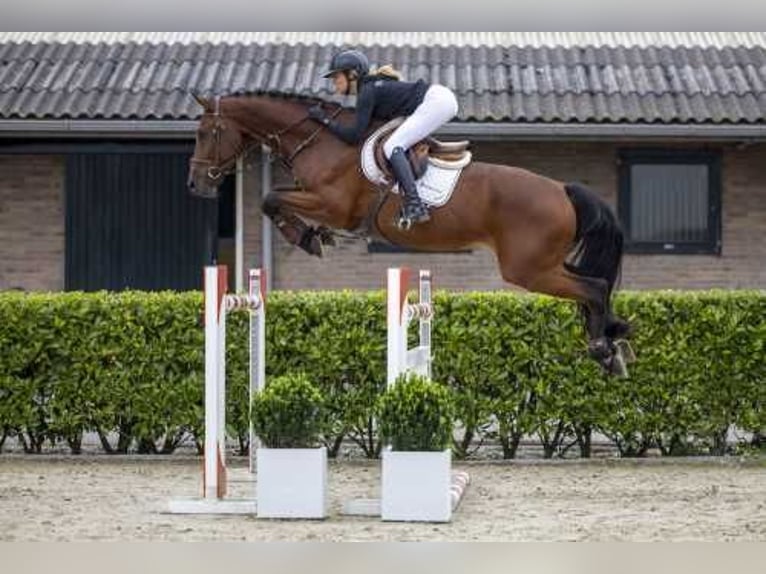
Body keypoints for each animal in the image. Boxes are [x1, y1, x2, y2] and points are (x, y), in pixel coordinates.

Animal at [188, 91, 636, 376]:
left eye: (206, 133)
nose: (196, 185)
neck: (320, 142)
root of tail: (562, 189)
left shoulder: (333, 205)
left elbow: (270, 198)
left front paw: (307, 237)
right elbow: (275, 199)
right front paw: (312, 236)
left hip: (528, 269)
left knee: (594, 287)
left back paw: (602, 349)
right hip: (543, 264)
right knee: (592, 288)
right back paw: (613, 340)